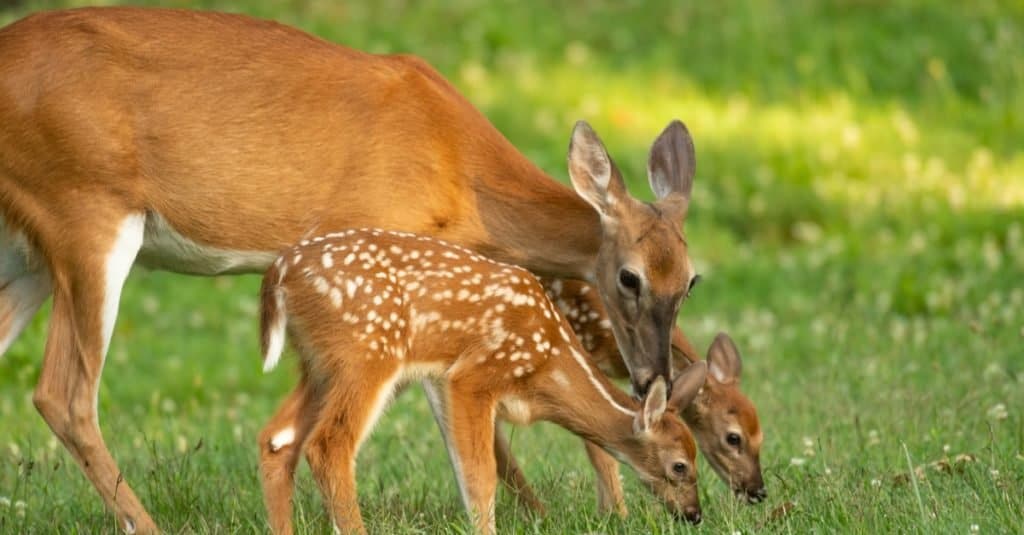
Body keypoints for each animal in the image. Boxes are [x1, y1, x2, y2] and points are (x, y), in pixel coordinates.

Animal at [254, 228, 708, 532]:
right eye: (680, 465)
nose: (694, 514)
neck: (549, 365)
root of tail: (278, 274)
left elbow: (467, 468)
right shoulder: (472, 375)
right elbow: (480, 474)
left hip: (318, 364)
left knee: (277, 438)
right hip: (367, 353)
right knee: (329, 443)